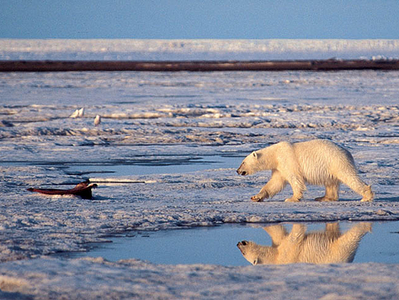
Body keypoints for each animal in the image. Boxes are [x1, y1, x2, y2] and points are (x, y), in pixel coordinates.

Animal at [236, 140, 374, 202]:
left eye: (243, 162)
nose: (237, 170)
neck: (275, 155)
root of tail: (347, 152)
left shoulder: (288, 161)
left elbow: (295, 179)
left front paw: (292, 198)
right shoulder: (279, 168)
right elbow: (274, 183)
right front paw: (255, 197)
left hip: (336, 162)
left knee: (349, 177)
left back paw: (366, 196)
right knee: (331, 183)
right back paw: (323, 197)